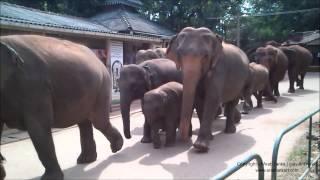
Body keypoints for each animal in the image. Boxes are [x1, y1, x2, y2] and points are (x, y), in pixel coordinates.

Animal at [0, 34, 123, 179]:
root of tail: (98, 60)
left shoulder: (34, 87)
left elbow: (39, 127)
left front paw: (50, 178)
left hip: (101, 86)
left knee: (98, 122)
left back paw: (115, 147)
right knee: (85, 123)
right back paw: (87, 159)